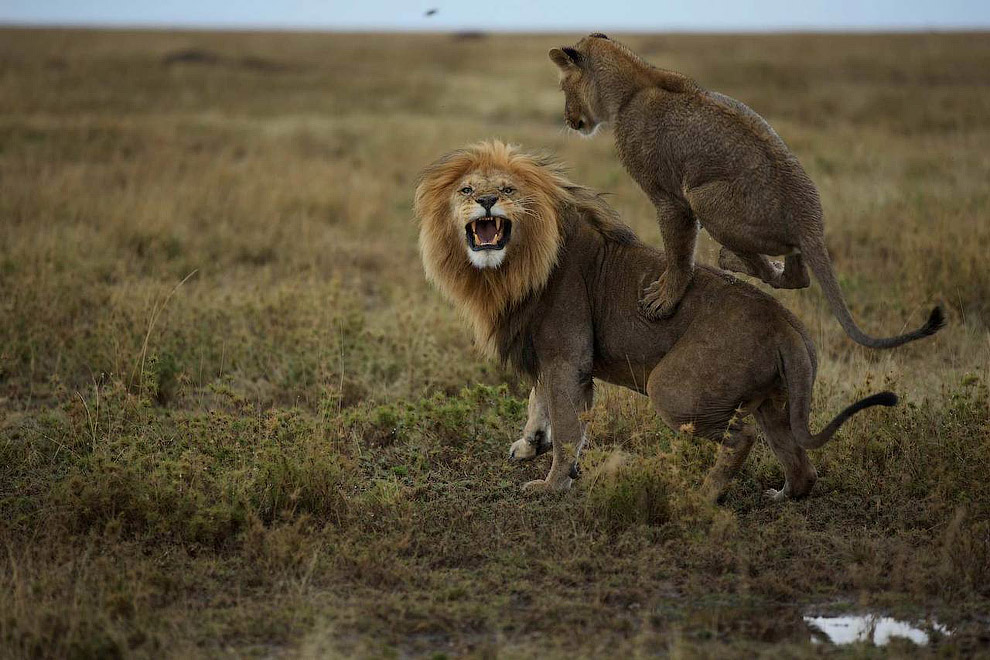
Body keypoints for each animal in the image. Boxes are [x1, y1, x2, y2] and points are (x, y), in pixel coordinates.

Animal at [414, 141, 904, 500]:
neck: (508, 268)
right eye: (465, 190)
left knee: (739, 438)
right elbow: (542, 402)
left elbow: (568, 424)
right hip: (775, 402)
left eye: (509, 190)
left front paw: (552, 485)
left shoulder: (566, 354)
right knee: (802, 467)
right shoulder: (552, 356)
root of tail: (788, 326)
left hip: (672, 389)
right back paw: (781, 495)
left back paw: (702, 496)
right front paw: (531, 444)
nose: (487, 200)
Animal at [552, 33, 944, 350]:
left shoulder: (670, 198)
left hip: (704, 198)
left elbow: (678, 254)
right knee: (798, 274)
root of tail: (809, 222)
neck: (632, 84)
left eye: (563, 89)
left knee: (773, 269)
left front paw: (664, 300)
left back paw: (728, 259)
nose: (569, 120)